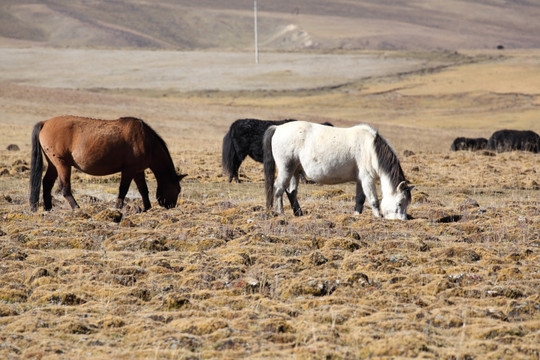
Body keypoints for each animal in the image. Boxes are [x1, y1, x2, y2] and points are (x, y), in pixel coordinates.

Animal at [29, 115, 187, 211]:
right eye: (178, 189)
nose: (171, 206)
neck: (146, 141)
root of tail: (45, 123)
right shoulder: (129, 170)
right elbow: (123, 189)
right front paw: (118, 207)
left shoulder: (138, 171)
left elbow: (143, 189)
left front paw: (146, 208)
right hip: (62, 164)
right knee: (65, 188)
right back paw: (76, 208)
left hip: (53, 165)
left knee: (47, 183)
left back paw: (48, 208)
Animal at [262, 121, 414, 219]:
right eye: (400, 203)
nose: (402, 221)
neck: (371, 149)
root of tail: (278, 128)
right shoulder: (367, 179)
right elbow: (374, 200)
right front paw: (378, 217)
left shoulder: (360, 180)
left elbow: (360, 199)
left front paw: (356, 215)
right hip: (286, 168)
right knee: (278, 189)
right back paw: (281, 213)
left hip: (295, 171)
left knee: (291, 192)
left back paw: (299, 214)